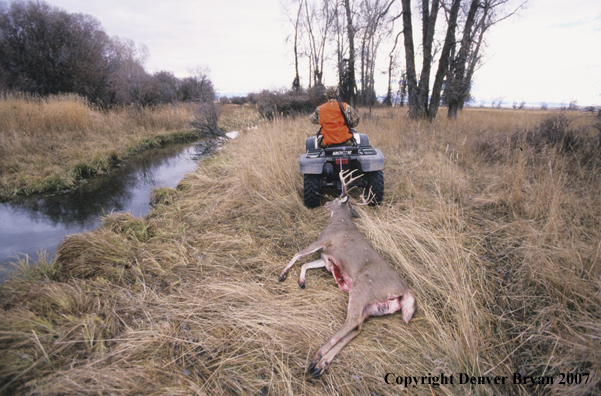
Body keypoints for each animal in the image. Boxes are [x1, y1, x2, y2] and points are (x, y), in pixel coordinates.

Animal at [278, 170, 414, 378]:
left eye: (336, 198)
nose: (326, 203)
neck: (339, 222)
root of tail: (405, 290)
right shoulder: (327, 259)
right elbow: (306, 264)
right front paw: (301, 282)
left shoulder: (324, 241)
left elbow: (298, 254)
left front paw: (283, 274)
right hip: (371, 307)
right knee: (357, 328)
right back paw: (321, 365)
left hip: (362, 289)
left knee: (351, 322)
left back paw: (317, 358)